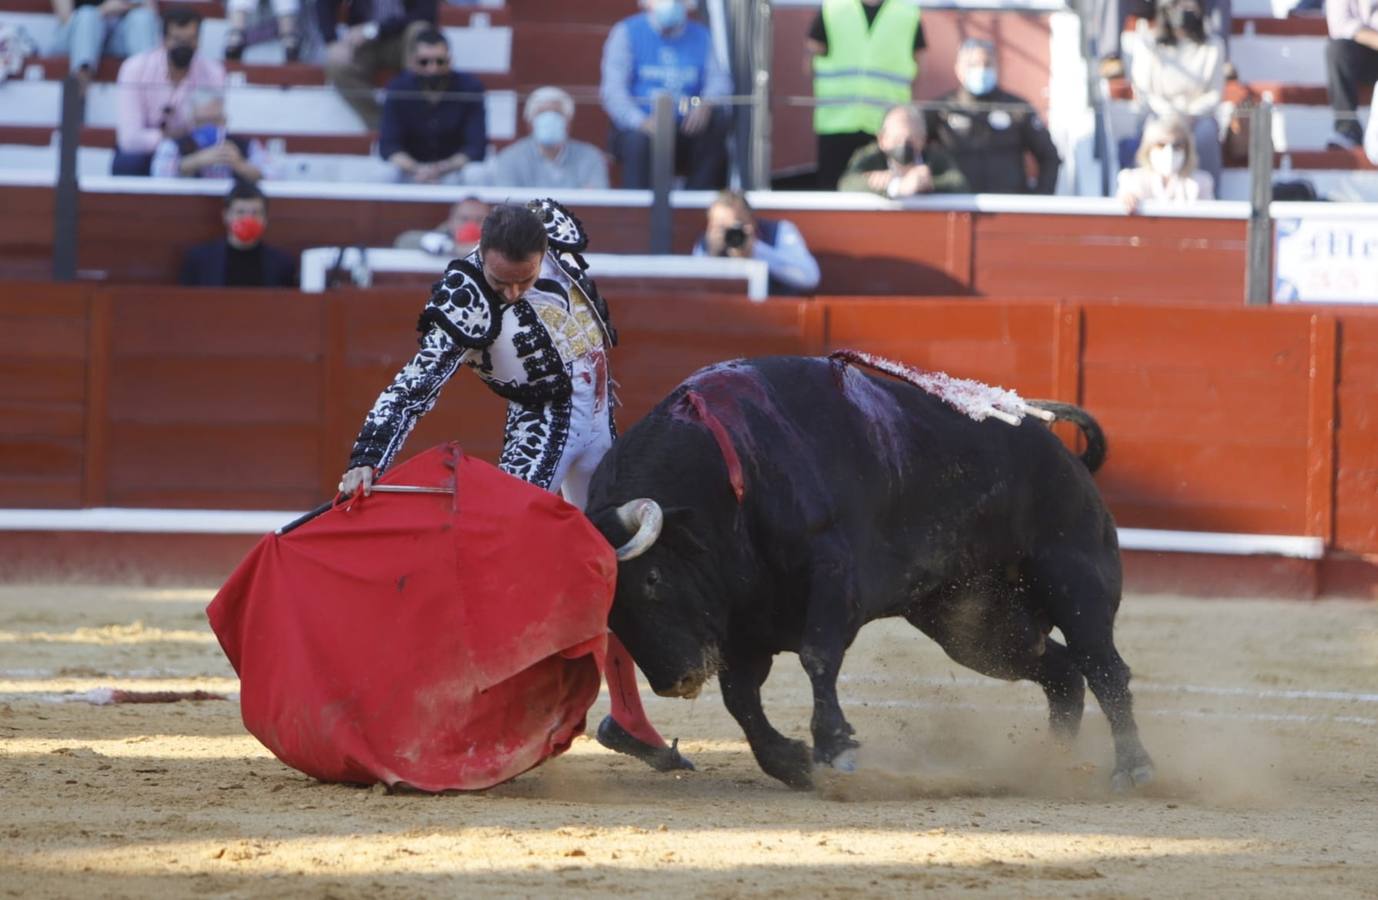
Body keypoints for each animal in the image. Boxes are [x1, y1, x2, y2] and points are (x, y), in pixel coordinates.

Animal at [587, 355, 1157, 788]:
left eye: (653, 581)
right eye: (609, 615)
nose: (674, 682)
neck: (729, 481)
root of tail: (1056, 447)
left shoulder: (832, 577)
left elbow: (817, 657)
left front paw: (834, 746)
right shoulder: (743, 622)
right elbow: (741, 699)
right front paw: (793, 762)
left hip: (1073, 577)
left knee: (1104, 667)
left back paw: (1134, 768)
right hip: (976, 627)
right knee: (1059, 671)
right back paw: (1047, 764)